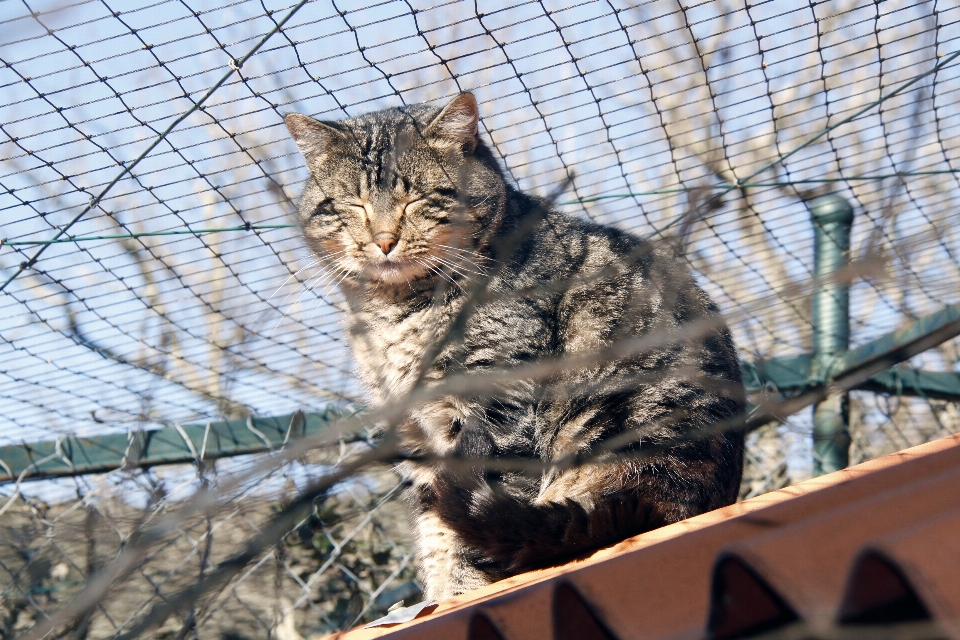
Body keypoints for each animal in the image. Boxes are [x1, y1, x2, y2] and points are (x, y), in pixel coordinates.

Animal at [282, 92, 748, 604]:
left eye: (419, 197)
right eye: (352, 202)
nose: (384, 241)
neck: (397, 313)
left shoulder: (497, 399)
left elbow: (473, 517)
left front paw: (468, 587)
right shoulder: (412, 427)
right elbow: (433, 523)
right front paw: (440, 598)